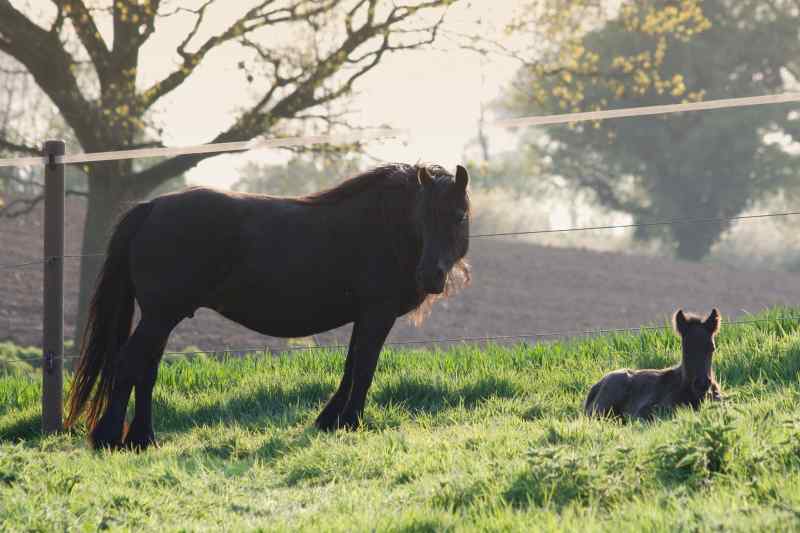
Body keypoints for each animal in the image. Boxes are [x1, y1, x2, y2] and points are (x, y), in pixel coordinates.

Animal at [69, 162, 472, 448]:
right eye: (422, 216)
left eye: (459, 216)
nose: (430, 276)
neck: (384, 228)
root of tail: (151, 207)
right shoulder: (377, 313)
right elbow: (364, 368)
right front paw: (350, 421)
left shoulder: (364, 316)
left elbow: (351, 365)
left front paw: (330, 421)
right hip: (160, 315)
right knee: (129, 364)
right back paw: (109, 438)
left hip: (161, 318)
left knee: (146, 369)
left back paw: (142, 438)